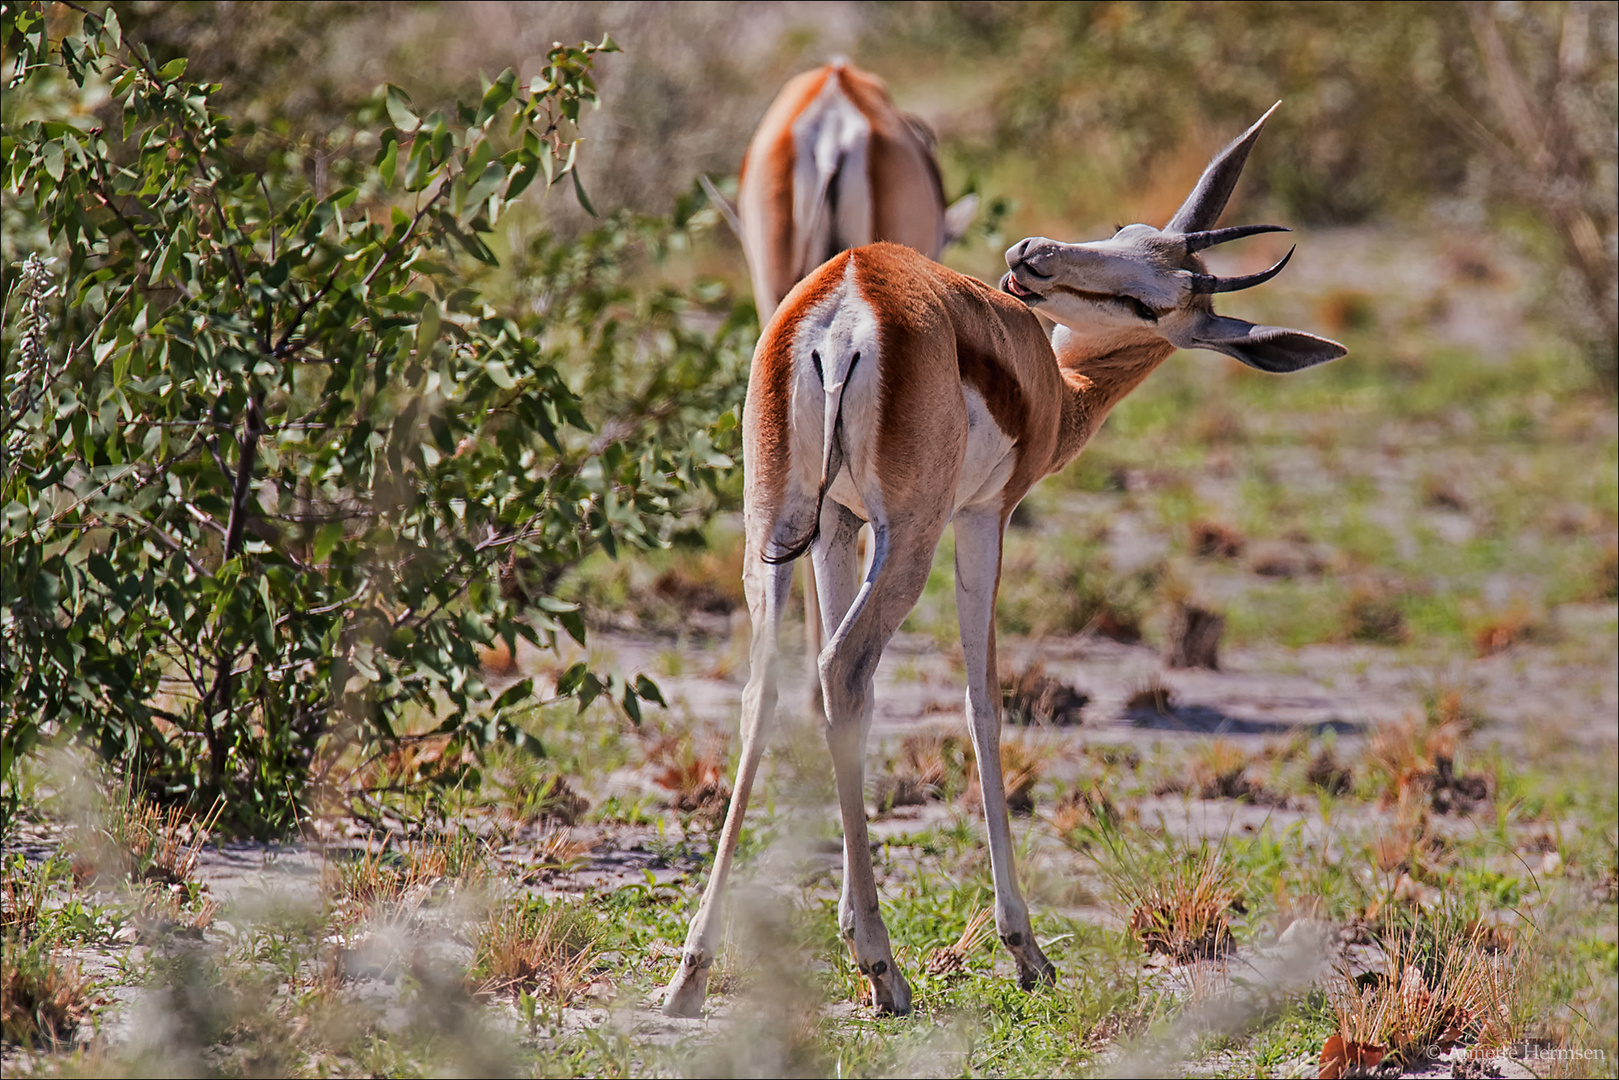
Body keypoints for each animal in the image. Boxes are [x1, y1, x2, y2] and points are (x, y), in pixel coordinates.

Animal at [663, 105, 1347, 1016]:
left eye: (1145, 288)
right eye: (1122, 236)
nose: (1031, 255)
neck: (1056, 393)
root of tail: (848, 300)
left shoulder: (840, 526)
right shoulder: (986, 517)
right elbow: (983, 700)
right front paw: (1024, 950)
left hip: (773, 527)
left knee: (773, 685)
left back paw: (693, 974)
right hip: (909, 537)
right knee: (845, 665)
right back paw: (886, 972)